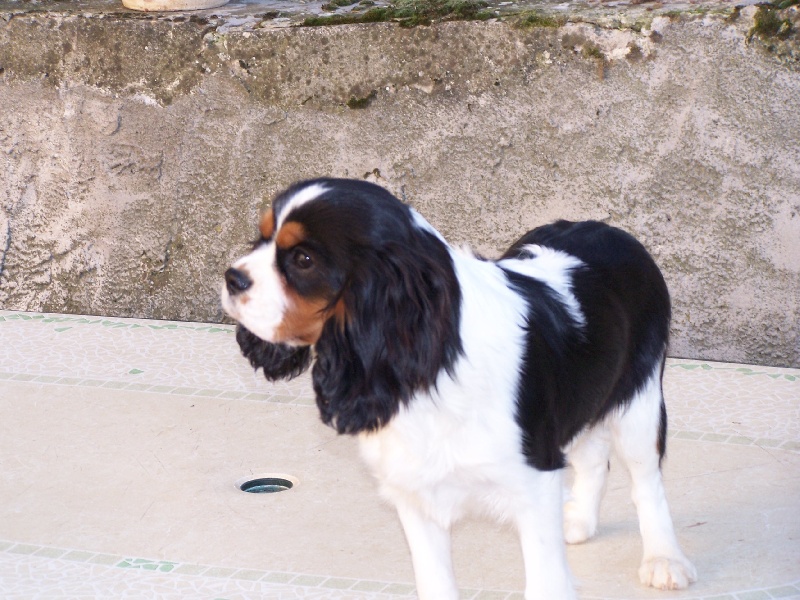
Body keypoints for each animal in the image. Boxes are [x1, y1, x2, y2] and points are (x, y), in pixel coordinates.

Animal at [221, 178, 696, 599]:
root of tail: (616, 232)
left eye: (302, 259)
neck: (434, 358)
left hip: (639, 403)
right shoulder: (415, 492)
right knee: (593, 455)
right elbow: (435, 580)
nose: (231, 277)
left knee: (645, 480)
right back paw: (579, 521)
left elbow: (547, 580)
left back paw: (664, 560)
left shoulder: (535, 478)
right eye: (262, 239)